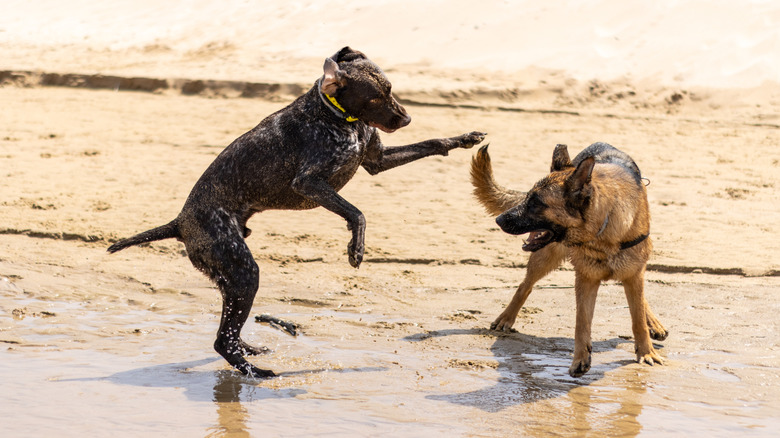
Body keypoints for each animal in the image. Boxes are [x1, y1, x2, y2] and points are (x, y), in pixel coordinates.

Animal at [106, 47, 484, 376]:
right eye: (376, 96)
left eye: (390, 88)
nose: (407, 118)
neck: (337, 116)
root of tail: (179, 223)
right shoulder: (309, 183)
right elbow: (357, 213)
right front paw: (356, 249)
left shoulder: (376, 161)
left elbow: (432, 143)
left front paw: (463, 138)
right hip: (243, 272)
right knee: (222, 341)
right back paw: (256, 373)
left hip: (232, 279)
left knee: (230, 334)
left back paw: (250, 351)